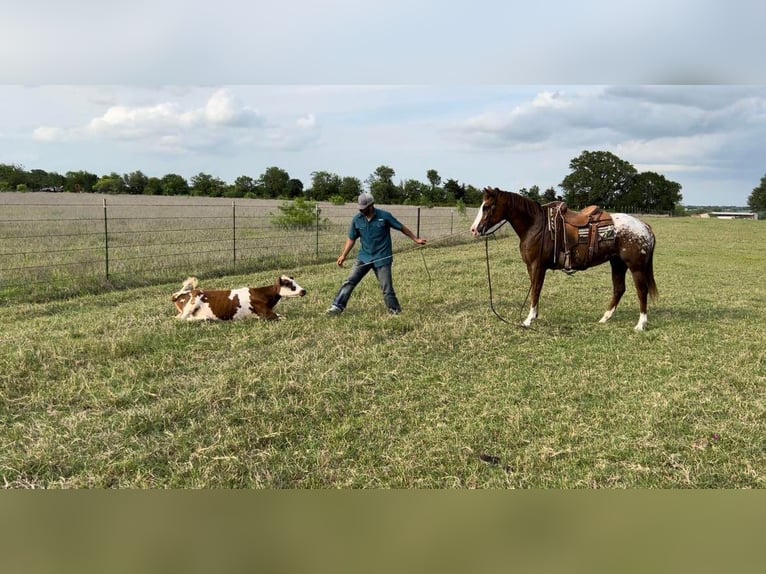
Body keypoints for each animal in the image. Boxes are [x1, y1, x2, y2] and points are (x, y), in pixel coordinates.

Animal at [172, 276, 308, 322]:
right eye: (290, 285)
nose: (304, 290)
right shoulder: (267, 313)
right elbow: (283, 317)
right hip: (193, 302)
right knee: (180, 319)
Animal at [468, 188, 660, 330]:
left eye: (487, 206)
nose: (474, 230)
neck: (536, 225)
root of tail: (644, 227)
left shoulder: (538, 266)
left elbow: (535, 291)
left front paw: (529, 320)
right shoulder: (531, 267)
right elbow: (535, 290)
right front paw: (533, 316)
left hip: (635, 266)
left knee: (641, 291)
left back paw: (640, 324)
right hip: (617, 263)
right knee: (619, 289)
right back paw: (605, 318)